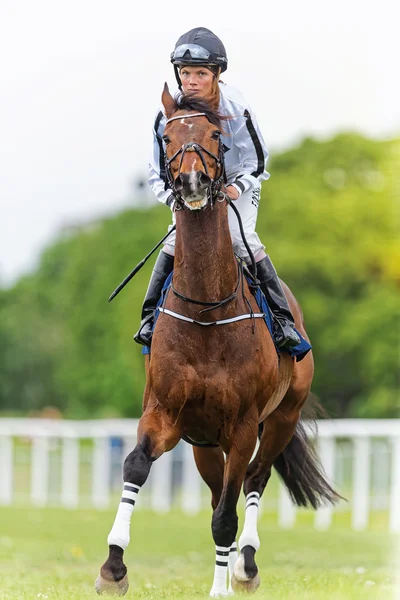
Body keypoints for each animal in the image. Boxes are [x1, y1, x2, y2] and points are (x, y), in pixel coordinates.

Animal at [96, 84, 338, 596]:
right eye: (167, 137)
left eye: (214, 135)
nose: (191, 181)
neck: (205, 313)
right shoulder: (166, 412)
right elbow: (136, 465)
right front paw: (113, 566)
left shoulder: (243, 426)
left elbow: (229, 514)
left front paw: (223, 583)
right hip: (204, 443)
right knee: (215, 494)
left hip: (280, 419)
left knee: (253, 482)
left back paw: (243, 568)